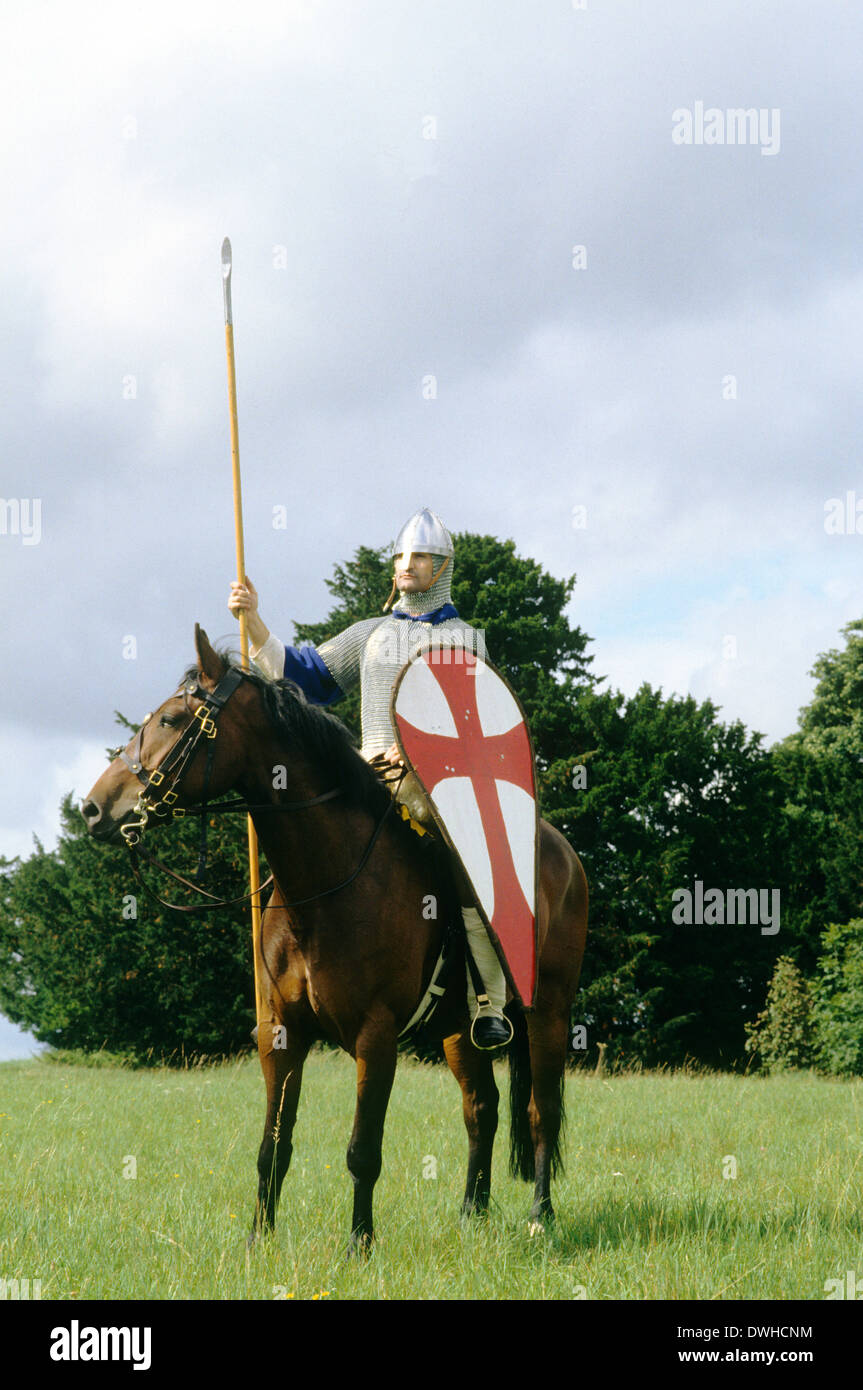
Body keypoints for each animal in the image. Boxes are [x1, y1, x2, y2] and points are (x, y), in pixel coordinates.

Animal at [80, 628, 589, 1251]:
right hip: (457, 1027)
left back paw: (541, 1215)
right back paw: (472, 1212)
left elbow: (362, 1152)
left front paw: (359, 1247)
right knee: (482, 1107)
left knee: (542, 1111)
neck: (323, 886)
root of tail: (560, 850)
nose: (95, 808)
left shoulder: (376, 1037)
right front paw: (258, 1242)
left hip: (549, 1010)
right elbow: (273, 1147)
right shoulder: (281, 1032)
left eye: (174, 719)